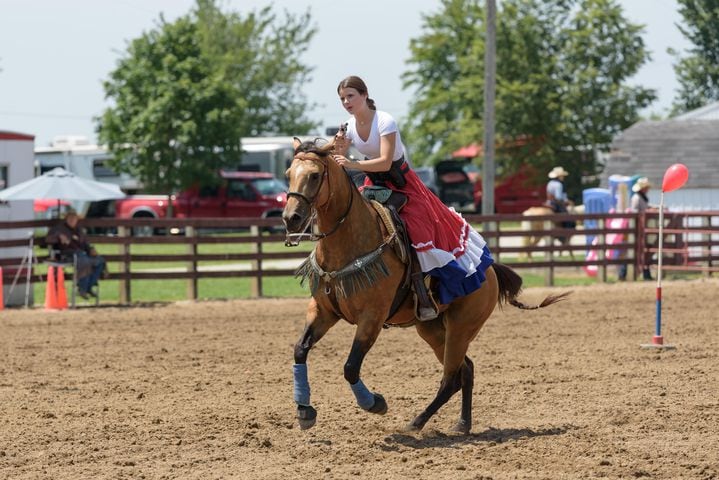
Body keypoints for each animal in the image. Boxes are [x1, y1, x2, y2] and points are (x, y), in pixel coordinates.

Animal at [282, 137, 568, 434]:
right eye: (289, 174)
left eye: (315, 175)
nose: (291, 218)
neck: (350, 243)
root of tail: (489, 270)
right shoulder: (323, 311)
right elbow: (300, 349)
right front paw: (304, 410)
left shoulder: (371, 318)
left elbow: (350, 367)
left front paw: (375, 403)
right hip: (432, 330)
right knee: (466, 370)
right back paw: (461, 423)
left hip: (461, 328)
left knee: (451, 377)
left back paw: (417, 422)